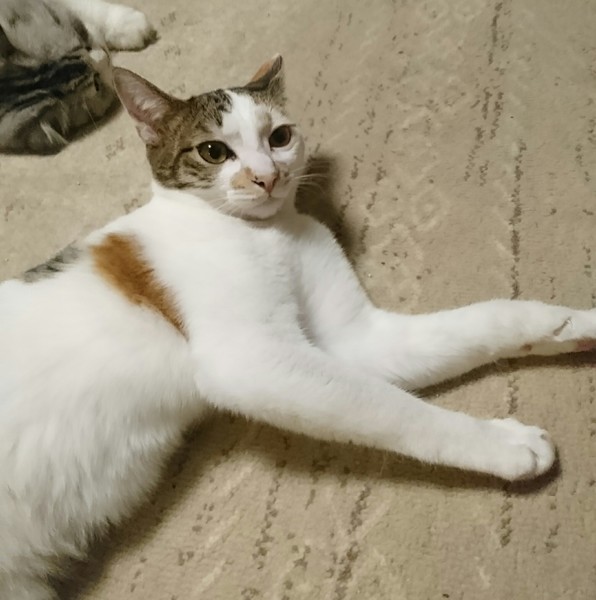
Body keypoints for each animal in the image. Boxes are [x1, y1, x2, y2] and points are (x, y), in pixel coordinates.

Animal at [2, 54, 596, 599]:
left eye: (280, 137)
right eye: (214, 151)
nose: (267, 177)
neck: (269, 234)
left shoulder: (355, 338)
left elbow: (483, 319)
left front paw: (570, 321)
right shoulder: (253, 360)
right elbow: (395, 411)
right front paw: (502, 444)